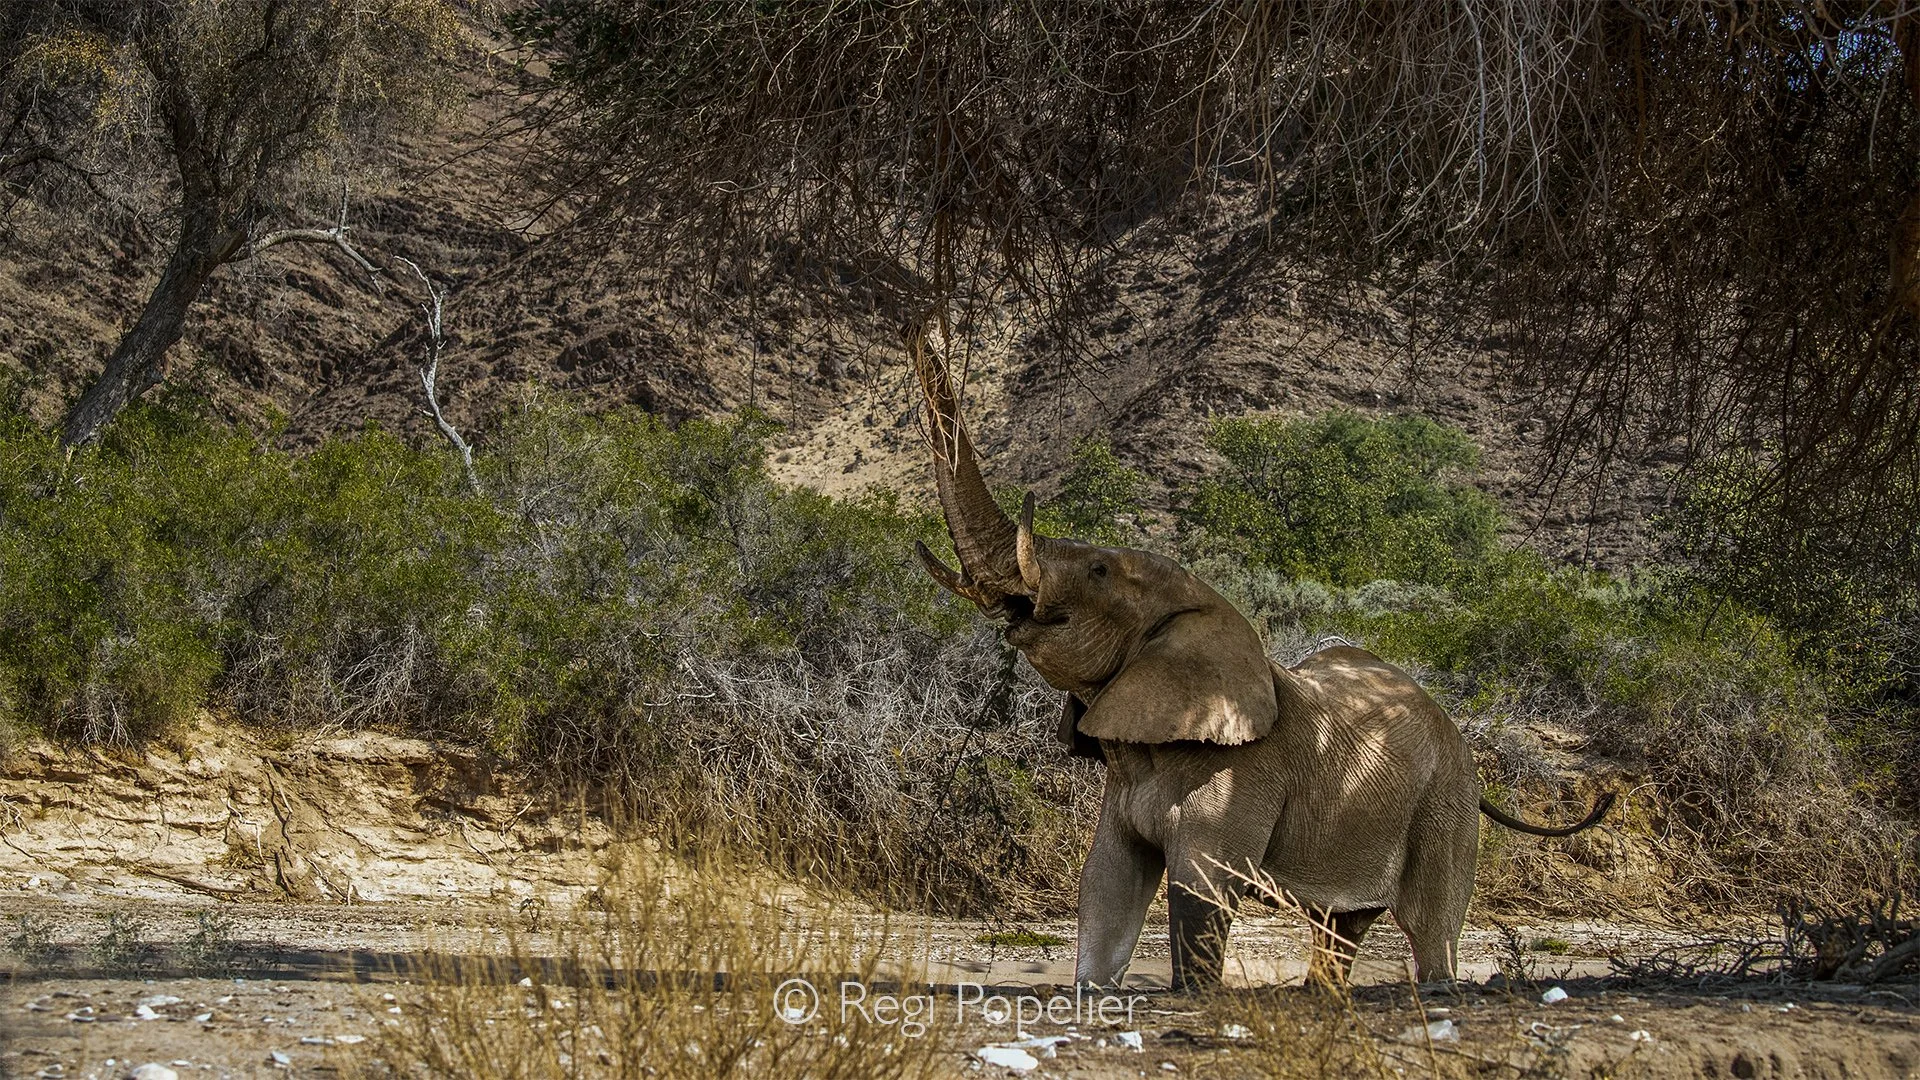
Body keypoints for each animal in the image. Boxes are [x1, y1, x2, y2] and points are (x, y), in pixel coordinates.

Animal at [905, 339, 1612, 991]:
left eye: (1099, 570)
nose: (923, 323)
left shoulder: (1242, 770)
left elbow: (1201, 883)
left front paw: (1193, 995)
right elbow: (1107, 881)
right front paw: (1094, 990)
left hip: (1446, 804)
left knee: (1430, 927)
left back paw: (1434, 988)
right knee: (1342, 925)